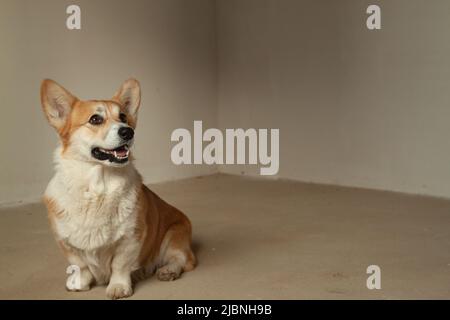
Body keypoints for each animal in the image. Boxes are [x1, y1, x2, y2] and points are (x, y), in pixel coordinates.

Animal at [41, 79, 196, 298]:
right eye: (95, 119)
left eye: (123, 117)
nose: (128, 131)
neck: (97, 188)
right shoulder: (65, 241)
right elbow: (80, 265)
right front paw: (79, 282)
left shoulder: (131, 238)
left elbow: (119, 265)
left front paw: (118, 287)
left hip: (174, 235)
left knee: (183, 260)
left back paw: (168, 271)